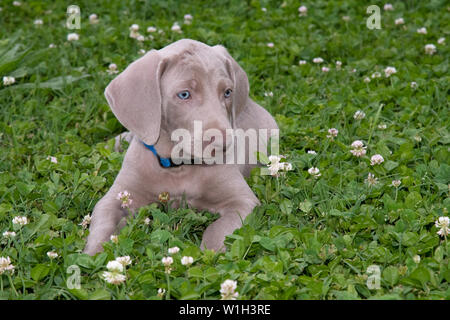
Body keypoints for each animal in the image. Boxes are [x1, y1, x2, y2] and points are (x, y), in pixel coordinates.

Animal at [81, 39, 278, 255]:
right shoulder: (117, 197)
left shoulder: (242, 201)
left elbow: (217, 229)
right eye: (184, 94)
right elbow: (103, 224)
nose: (224, 144)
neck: (179, 166)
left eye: (227, 92)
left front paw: (210, 254)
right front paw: (93, 255)